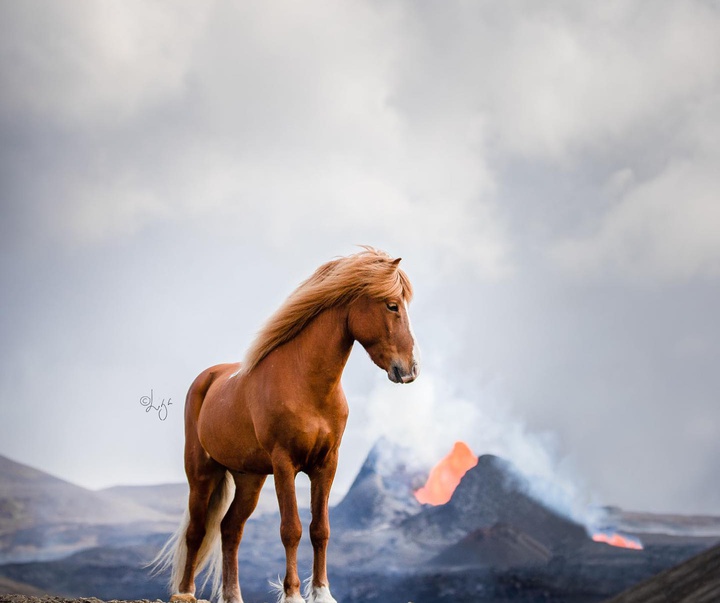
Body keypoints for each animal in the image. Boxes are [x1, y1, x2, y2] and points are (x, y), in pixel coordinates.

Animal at [155, 249, 420, 603]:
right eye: (392, 305)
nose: (410, 369)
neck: (307, 385)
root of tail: (207, 379)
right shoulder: (284, 464)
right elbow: (291, 529)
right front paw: (293, 594)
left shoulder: (326, 464)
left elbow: (320, 529)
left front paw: (322, 593)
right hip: (202, 473)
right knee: (196, 531)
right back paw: (185, 593)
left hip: (249, 478)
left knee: (230, 529)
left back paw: (233, 596)